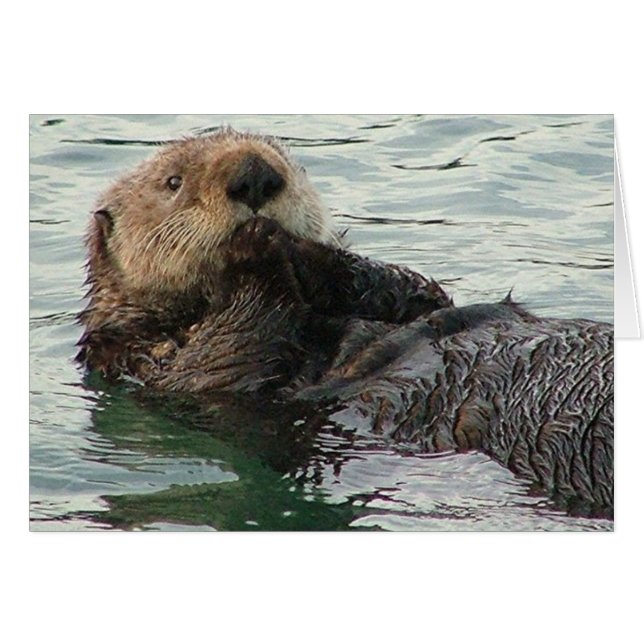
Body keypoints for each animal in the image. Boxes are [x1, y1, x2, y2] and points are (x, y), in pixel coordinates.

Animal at [77, 128, 613, 517]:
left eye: (284, 157)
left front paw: (305, 249)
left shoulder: (407, 301)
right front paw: (253, 246)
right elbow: (223, 360)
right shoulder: (148, 365)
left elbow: (405, 288)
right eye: (173, 182)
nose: (254, 174)